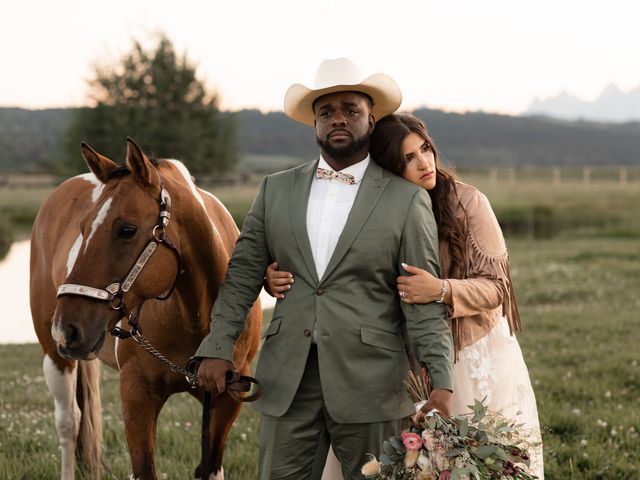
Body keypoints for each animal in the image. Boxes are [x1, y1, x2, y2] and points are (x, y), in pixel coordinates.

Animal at [31, 137, 262, 478]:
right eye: (83, 228)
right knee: (69, 424)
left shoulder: (225, 400)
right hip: (55, 358)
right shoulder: (136, 395)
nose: (66, 329)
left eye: (126, 229)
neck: (196, 314)